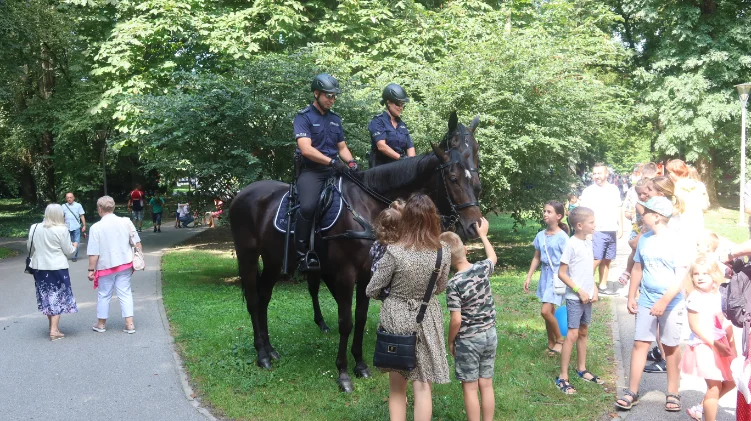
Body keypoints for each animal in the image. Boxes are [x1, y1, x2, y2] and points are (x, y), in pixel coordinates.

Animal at [229, 111, 484, 390]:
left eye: (473, 174)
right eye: (453, 179)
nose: (475, 225)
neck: (369, 206)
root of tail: (243, 193)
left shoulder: (368, 274)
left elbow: (360, 318)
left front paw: (360, 365)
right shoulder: (345, 274)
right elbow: (346, 322)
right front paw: (343, 373)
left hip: (274, 260)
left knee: (264, 297)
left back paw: (270, 349)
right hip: (248, 256)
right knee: (254, 300)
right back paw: (262, 355)